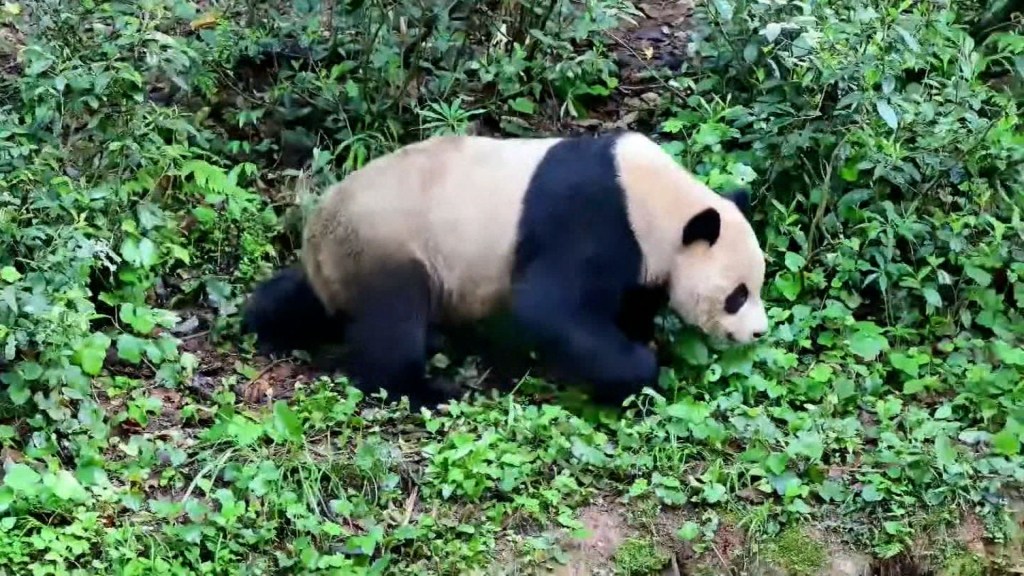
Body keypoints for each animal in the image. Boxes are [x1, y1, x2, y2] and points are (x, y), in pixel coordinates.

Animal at [241, 130, 770, 407]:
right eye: (738, 295)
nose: (759, 333)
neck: (654, 198)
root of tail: (317, 234)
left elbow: (629, 300)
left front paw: (644, 341)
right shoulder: (593, 218)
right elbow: (549, 307)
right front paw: (638, 371)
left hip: (343, 261)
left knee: (306, 301)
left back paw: (264, 326)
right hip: (389, 244)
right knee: (392, 321)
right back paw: (429, 389)